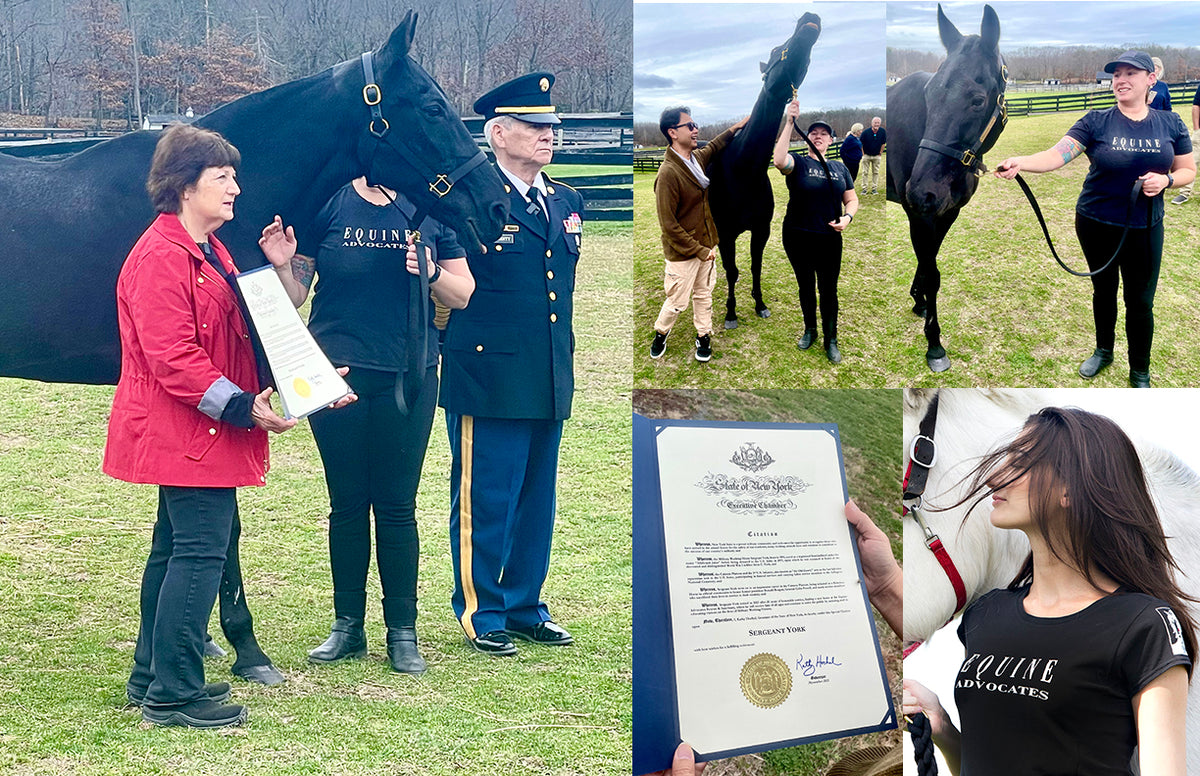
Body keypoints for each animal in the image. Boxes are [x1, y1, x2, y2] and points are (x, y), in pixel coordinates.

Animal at [705, 12, 820, 328]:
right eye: (775, 50)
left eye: (808, 61)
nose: (809, 18)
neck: (741, 169)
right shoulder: (727, 233)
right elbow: (733, 270)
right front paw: (731, 314)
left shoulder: (761, 229)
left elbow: (755, 266)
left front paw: (759, 305)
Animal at [888, 4, 1008, 371]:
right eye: (929, 95)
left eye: (977, 100)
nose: (920, 189)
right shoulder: (918, 213)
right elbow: (931, 270)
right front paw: (934, 344)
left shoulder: (945, 211)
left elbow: (930, 265)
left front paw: (920, 301)